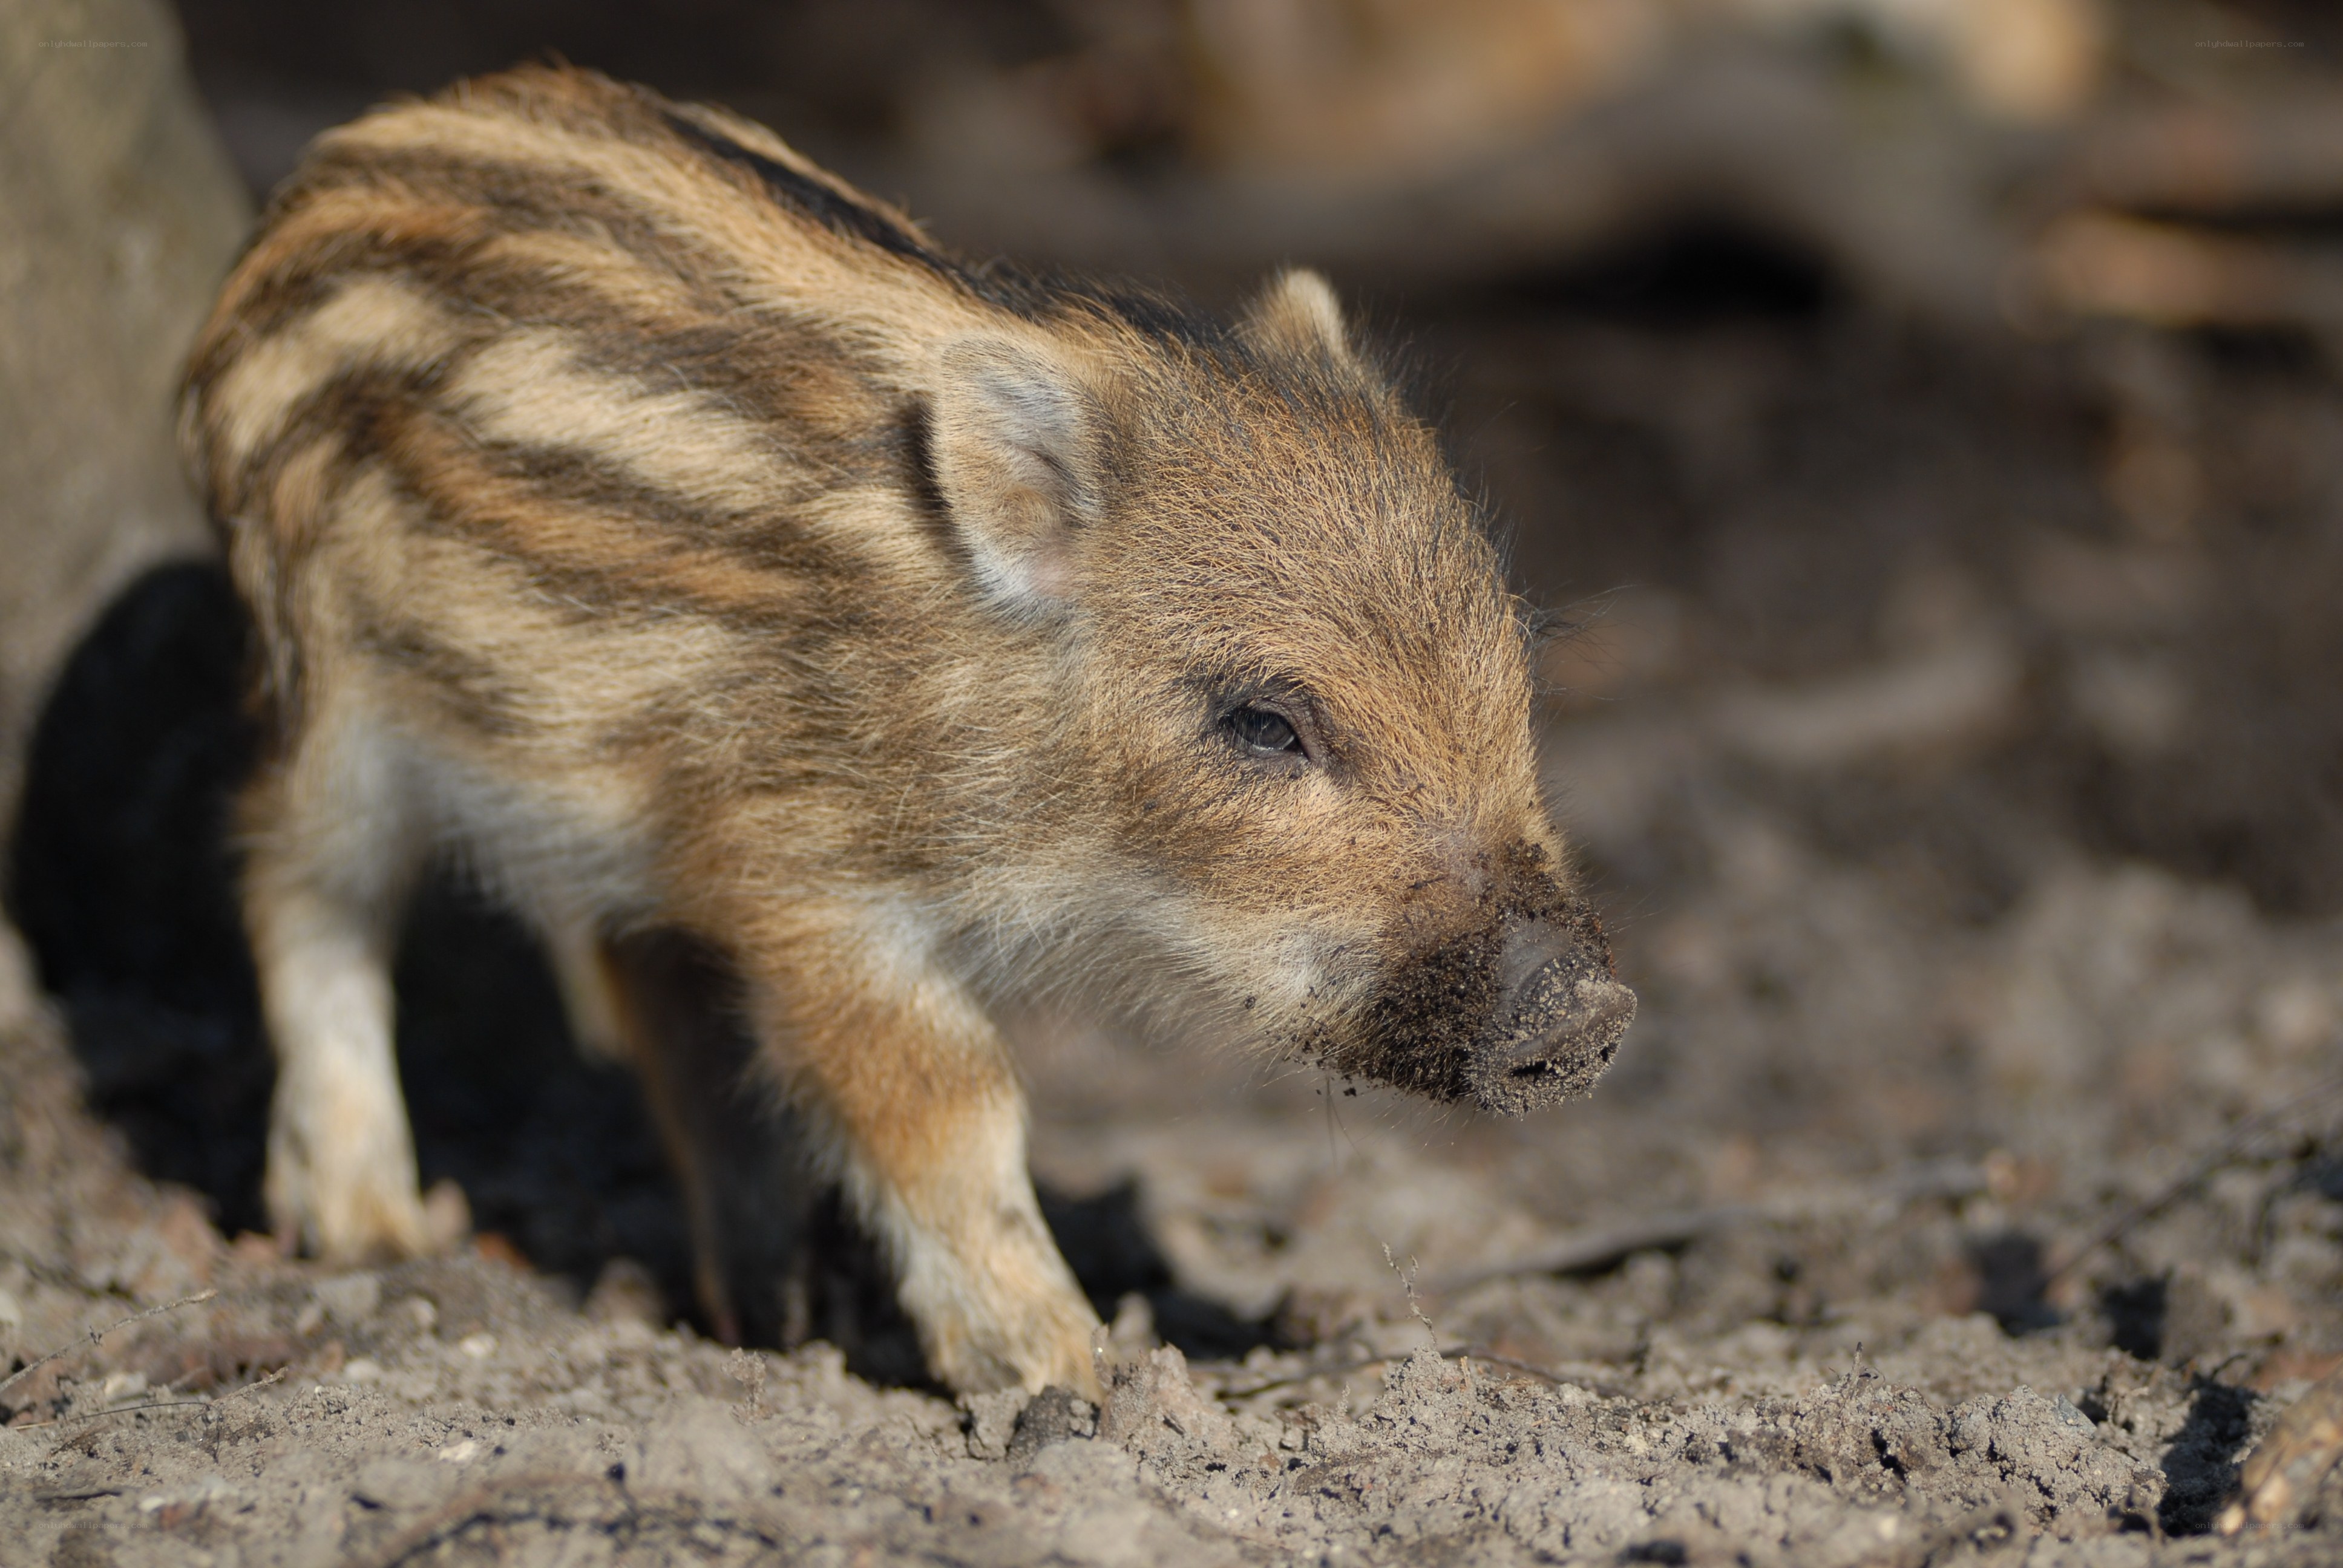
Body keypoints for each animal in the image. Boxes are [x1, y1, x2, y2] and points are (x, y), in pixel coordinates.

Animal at [178, 64, 1634, 1396]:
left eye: (1509, 669)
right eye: (1265, 725)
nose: (1589, 1005)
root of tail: (319, 182)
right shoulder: (801, 870)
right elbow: (950, 1098)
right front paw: (1068, 1370)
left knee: (657, 995)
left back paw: (769, 1310)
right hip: (325, 692)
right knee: (294, 880)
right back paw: (368, 1227)